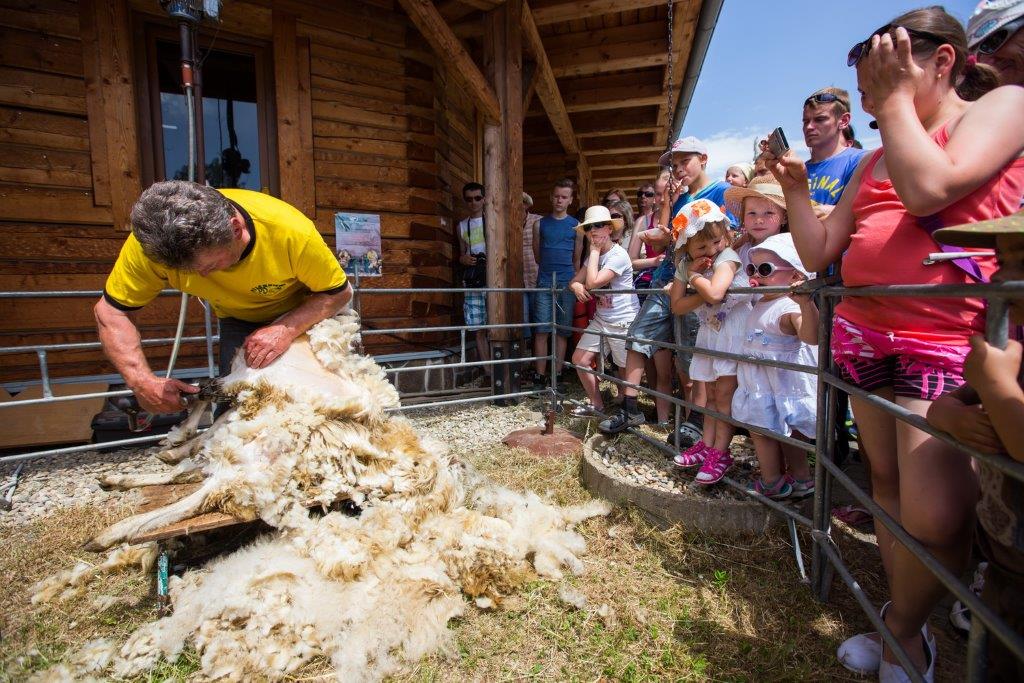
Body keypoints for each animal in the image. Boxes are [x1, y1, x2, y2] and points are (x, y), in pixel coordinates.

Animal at [31, 310, 610, 681]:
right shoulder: (249, 459)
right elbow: (191, 479)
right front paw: (123, 510)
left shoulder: (252, 466)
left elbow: (194, 489)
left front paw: (115, 527)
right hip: (248, 425)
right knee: (202, 439)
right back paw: (156, 456)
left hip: (250, 439)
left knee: (204, 453)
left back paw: (143, 480)